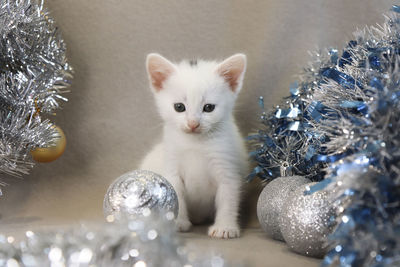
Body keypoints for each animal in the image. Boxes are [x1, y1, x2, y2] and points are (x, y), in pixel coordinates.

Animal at [139, 53, 248, 240]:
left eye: (209, 107)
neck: (196, 143)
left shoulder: (228, 166)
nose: (193, 124)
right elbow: (176, 193)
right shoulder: (172, 166)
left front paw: (225, 227)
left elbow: (228, 197)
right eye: (179, 107)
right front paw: (177, 223)